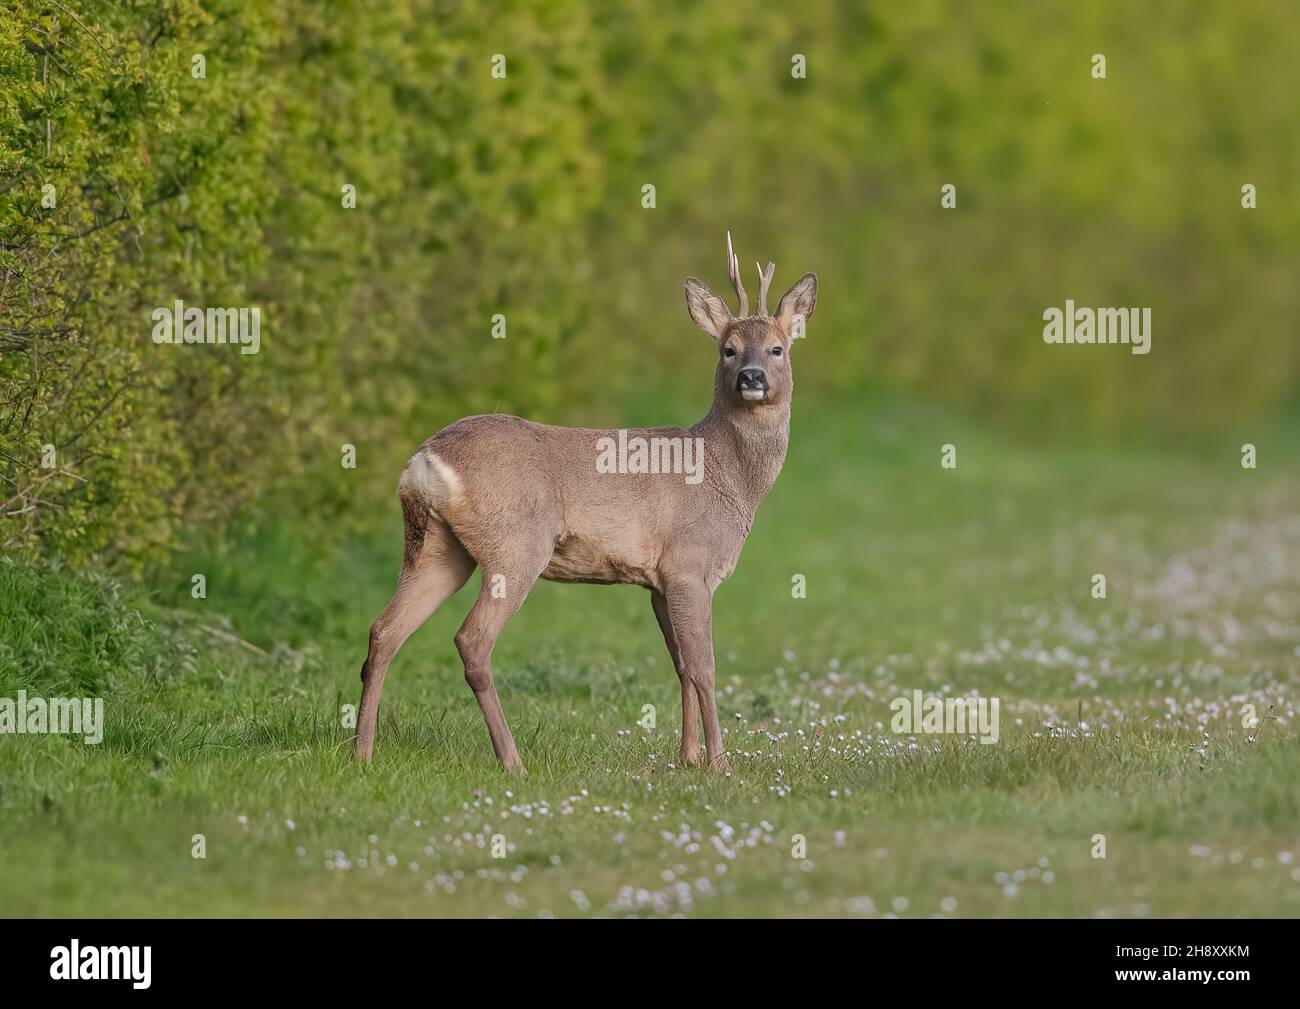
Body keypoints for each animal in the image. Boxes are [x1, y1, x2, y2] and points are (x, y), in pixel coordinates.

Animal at [353, 233, 816, 773]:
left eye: (778, 348)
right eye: (728, 349)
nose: (752, 377)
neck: (728, 475)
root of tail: (425, 461)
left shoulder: (658, 581)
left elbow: (680, 665)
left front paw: (687, 758)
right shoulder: (689, 564)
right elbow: (704, 667)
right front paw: (719, 763)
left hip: (436, 548)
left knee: (384, 630)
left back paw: (362, 752)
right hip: (516, 546)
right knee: (472, 640)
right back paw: (512, 760)